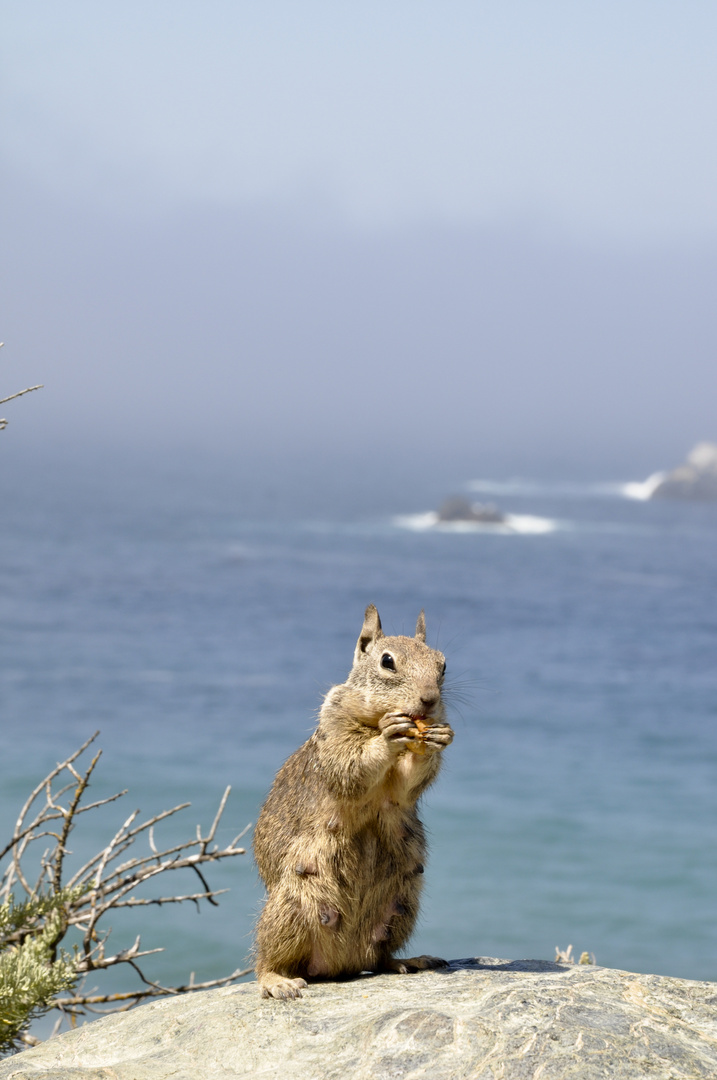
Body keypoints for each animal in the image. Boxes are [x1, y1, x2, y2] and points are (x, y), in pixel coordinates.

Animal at [253, 604, 453, 997]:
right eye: (387, 661)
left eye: (442, 664)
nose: (429, 701)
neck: (375, 720)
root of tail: (340, 964)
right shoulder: (334, 727)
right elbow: (351, 765)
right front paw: (388, 738)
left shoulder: (399, 789)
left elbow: (406, 785)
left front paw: (437, 738)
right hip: (290, 908)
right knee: (266, 959)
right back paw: (277, 981)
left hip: (402, 906)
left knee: (378, 957)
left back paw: (407, 961)